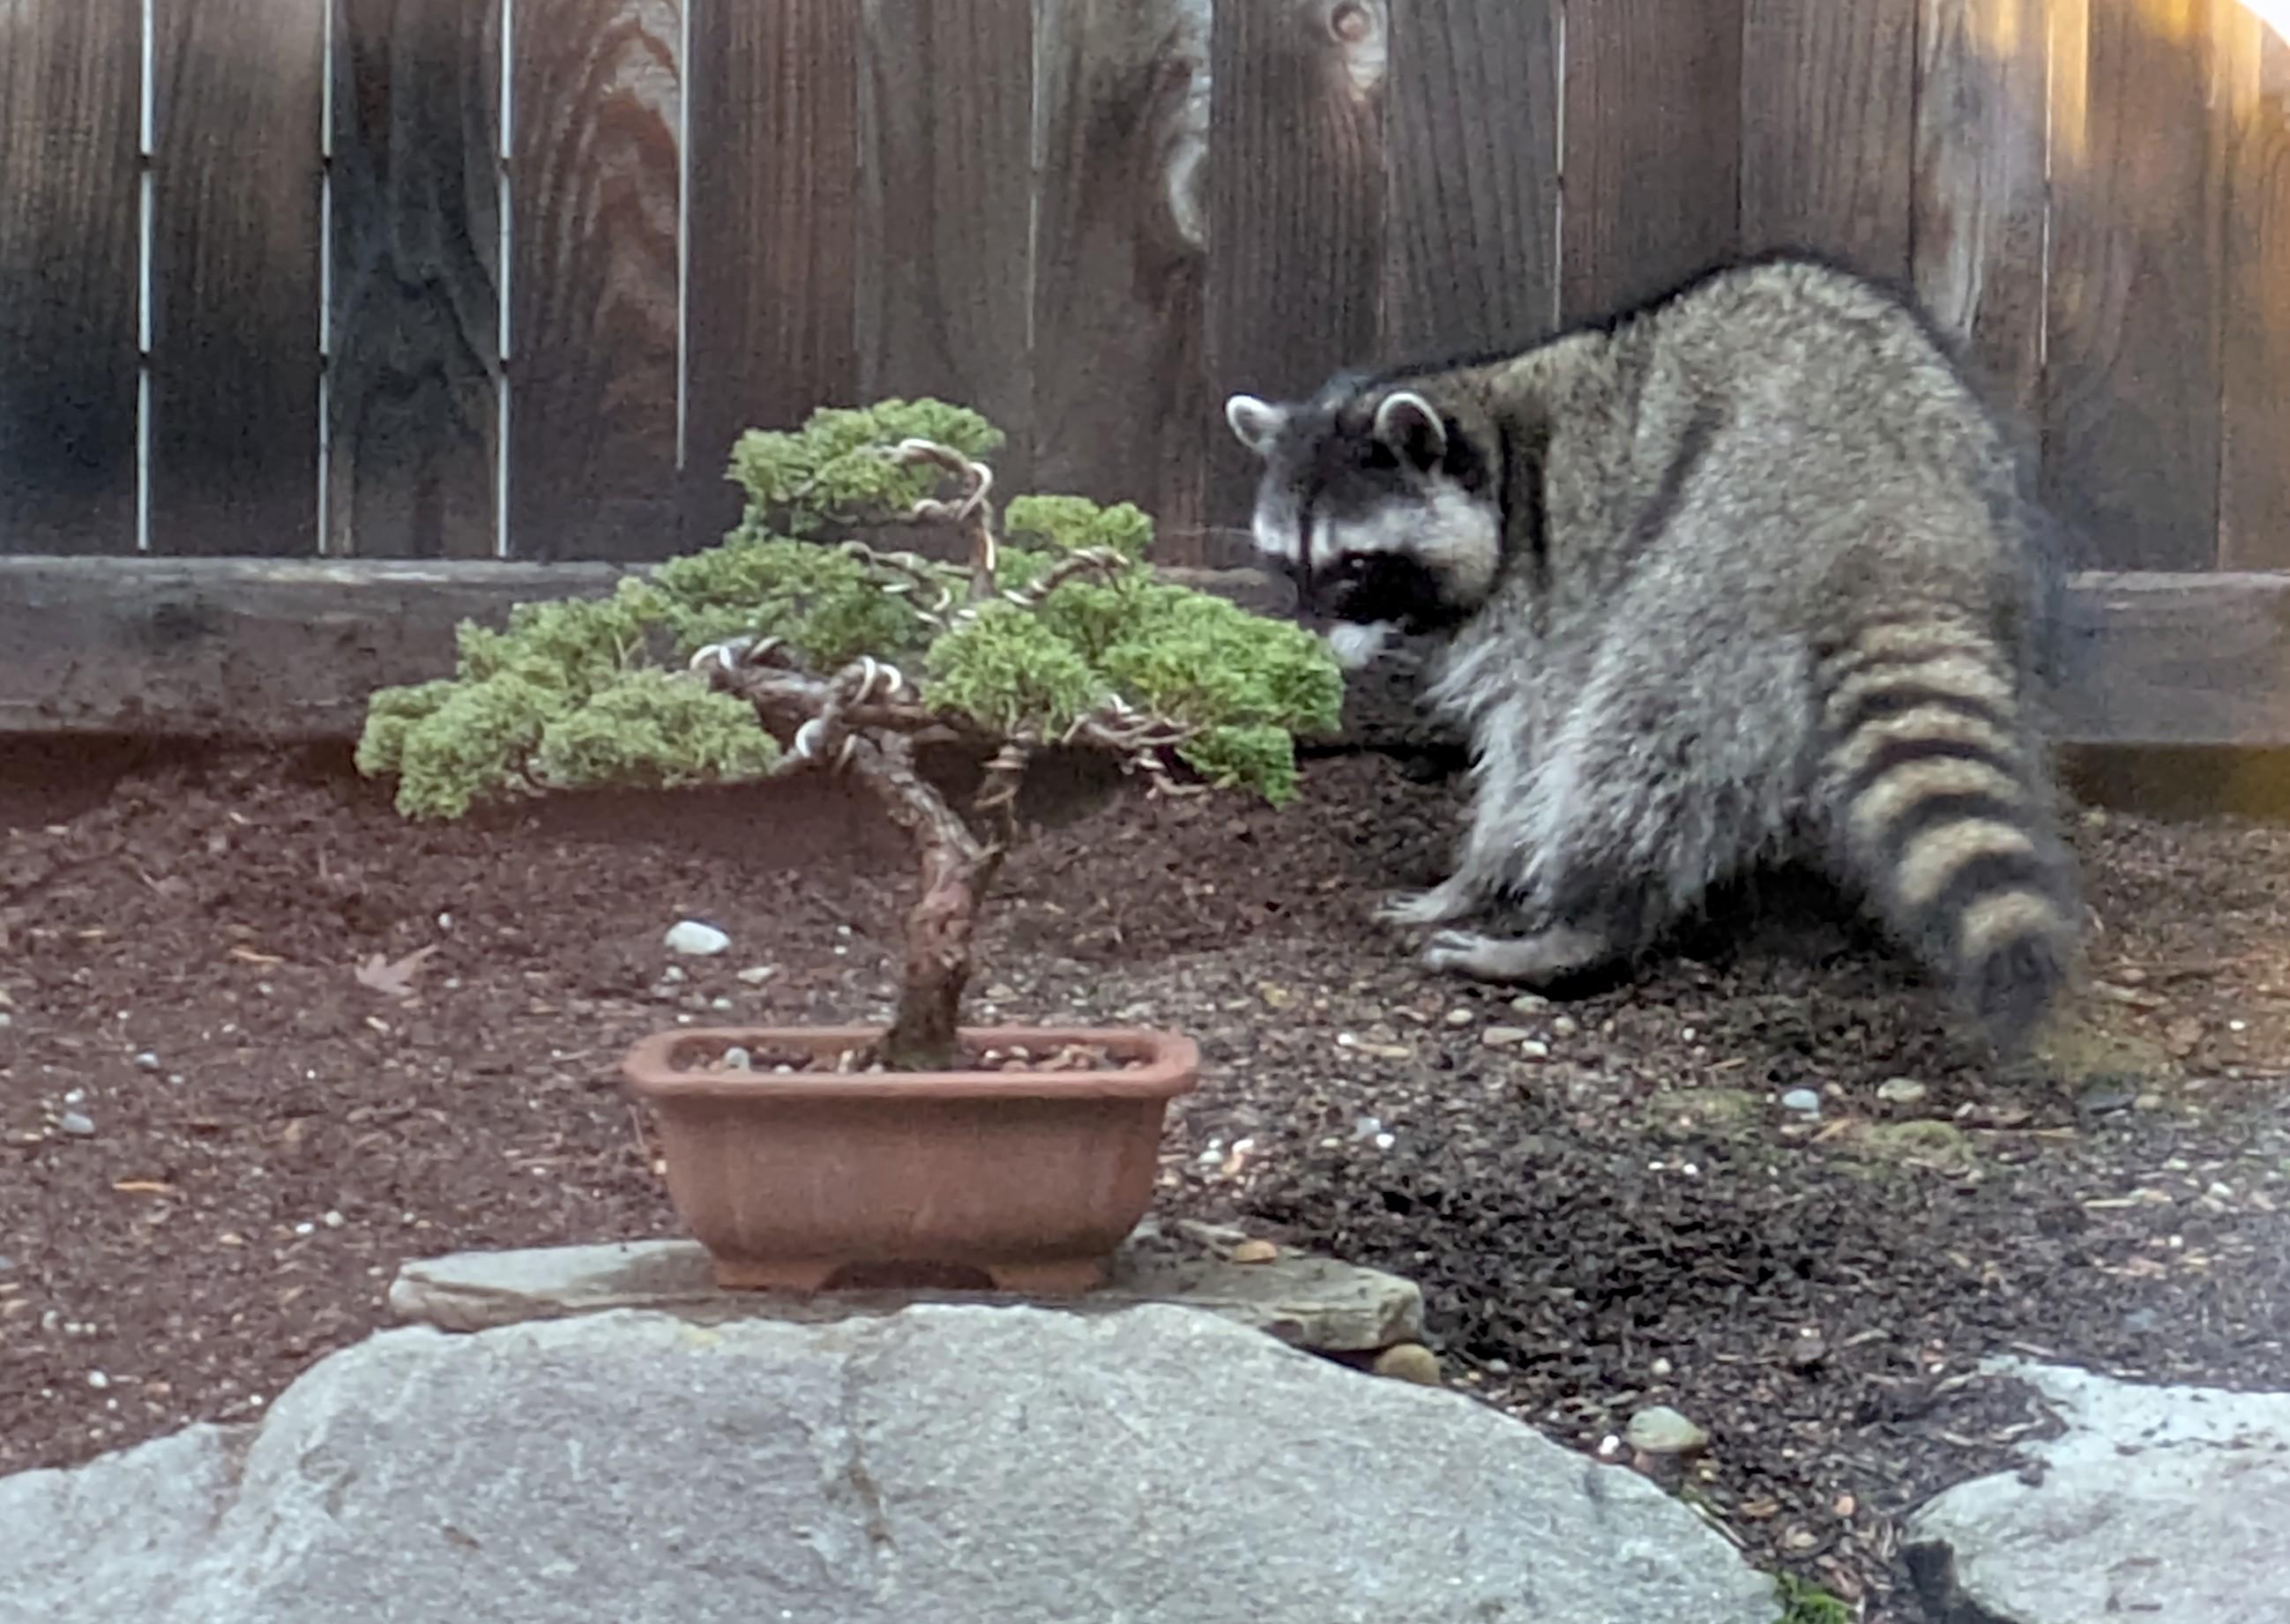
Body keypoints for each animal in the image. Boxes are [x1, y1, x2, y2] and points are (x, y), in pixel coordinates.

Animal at [1223, 253, 2083, 1052]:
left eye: (1356, 567)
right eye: (1288, 564)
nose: (1308, 651)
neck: (1497, 438)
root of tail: (1900, 533)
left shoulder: (1554, 582)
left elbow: (1532, 739)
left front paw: (1476, 874)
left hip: (1726, 552)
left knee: (1636, 738)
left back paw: (1584, 924)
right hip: (2003, 558)